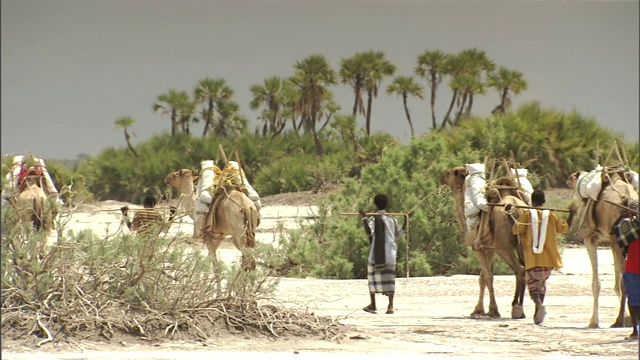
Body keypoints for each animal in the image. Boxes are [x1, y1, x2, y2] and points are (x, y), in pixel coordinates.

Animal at [438, 165, 528, 318]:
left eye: (450, 172)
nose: (441, 176)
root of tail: (515, 211)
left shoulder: (478, 247)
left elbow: (488, 276)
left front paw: (492, 310)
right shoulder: (489, 249)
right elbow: (482, 278)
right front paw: (478, 309)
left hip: (504, 248)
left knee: (519, 269)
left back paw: (517, 308)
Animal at [568, 169, 636, 330]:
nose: (568, 179)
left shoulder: (590, 238)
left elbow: (596, 283)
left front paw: (593, 321)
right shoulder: (611, 242)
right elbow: (616, 283)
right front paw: (627, 317)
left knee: (625, 280)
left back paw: (618, 321)